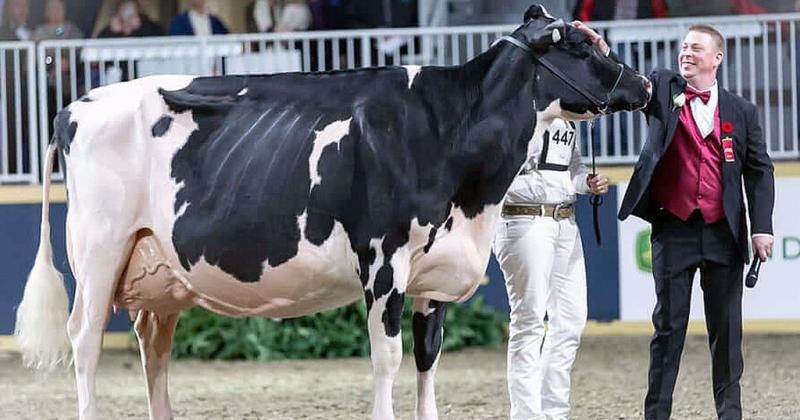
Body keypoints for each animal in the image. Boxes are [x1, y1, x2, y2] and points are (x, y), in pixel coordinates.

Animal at [14, 5, 648, 420]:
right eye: (581, 45)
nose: (643, 84)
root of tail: (73, 105)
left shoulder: (435, 274)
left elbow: (427, 358)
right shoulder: (384, 262)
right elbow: (388, 359)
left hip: (160, 270)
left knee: (153, 345)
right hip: (99, 250)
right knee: (85, 340)